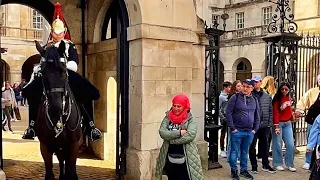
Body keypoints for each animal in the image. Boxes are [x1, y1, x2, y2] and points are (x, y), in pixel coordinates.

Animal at [34, 40, 82, 179]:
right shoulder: (45, 146)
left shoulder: (73, 145)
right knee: (61, 160)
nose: (55, 108)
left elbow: (71, 170)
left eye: (64, 72)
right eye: (42, 73)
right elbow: (49, 172)